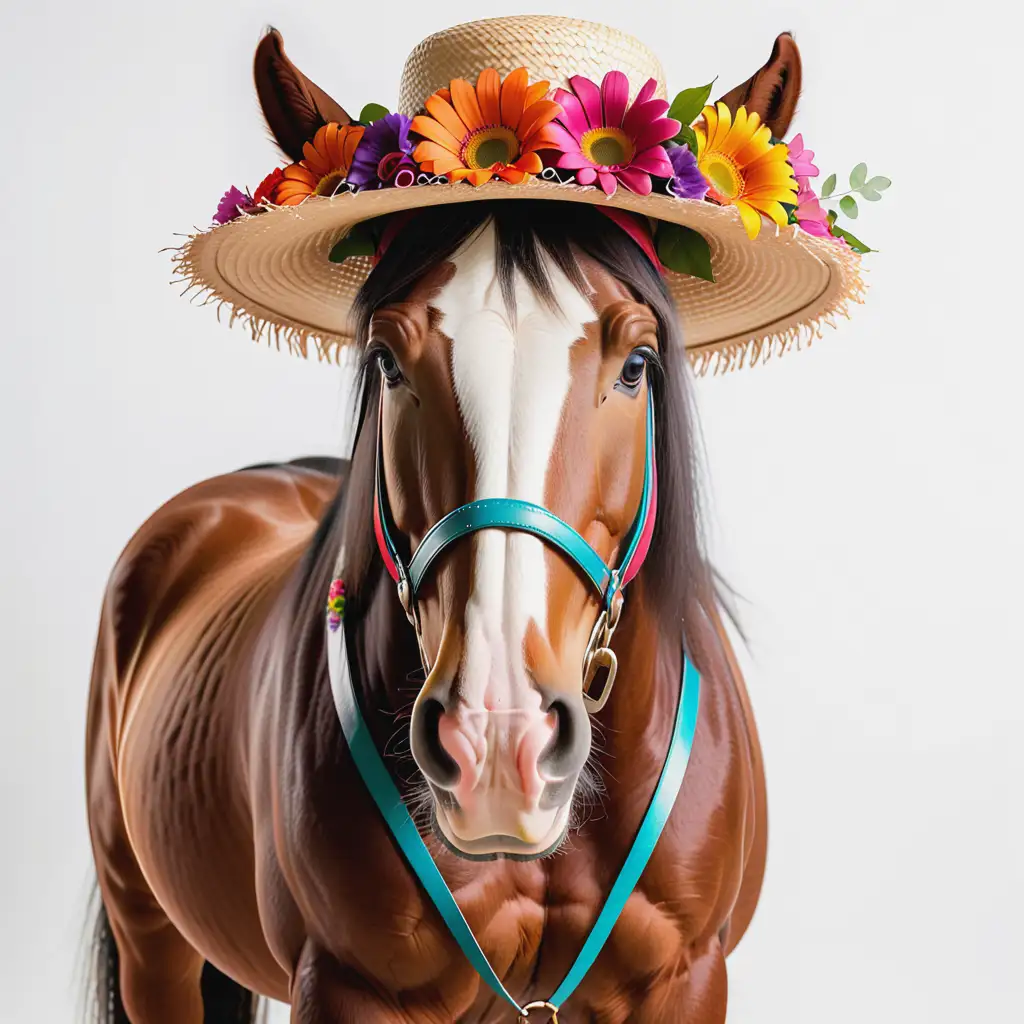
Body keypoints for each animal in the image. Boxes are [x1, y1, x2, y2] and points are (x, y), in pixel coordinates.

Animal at [83, 34, 798, 1024]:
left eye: (638, 363)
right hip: (149, 935)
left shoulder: (687, 979)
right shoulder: (352, 990)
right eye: (387, 359)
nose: (498, 742)